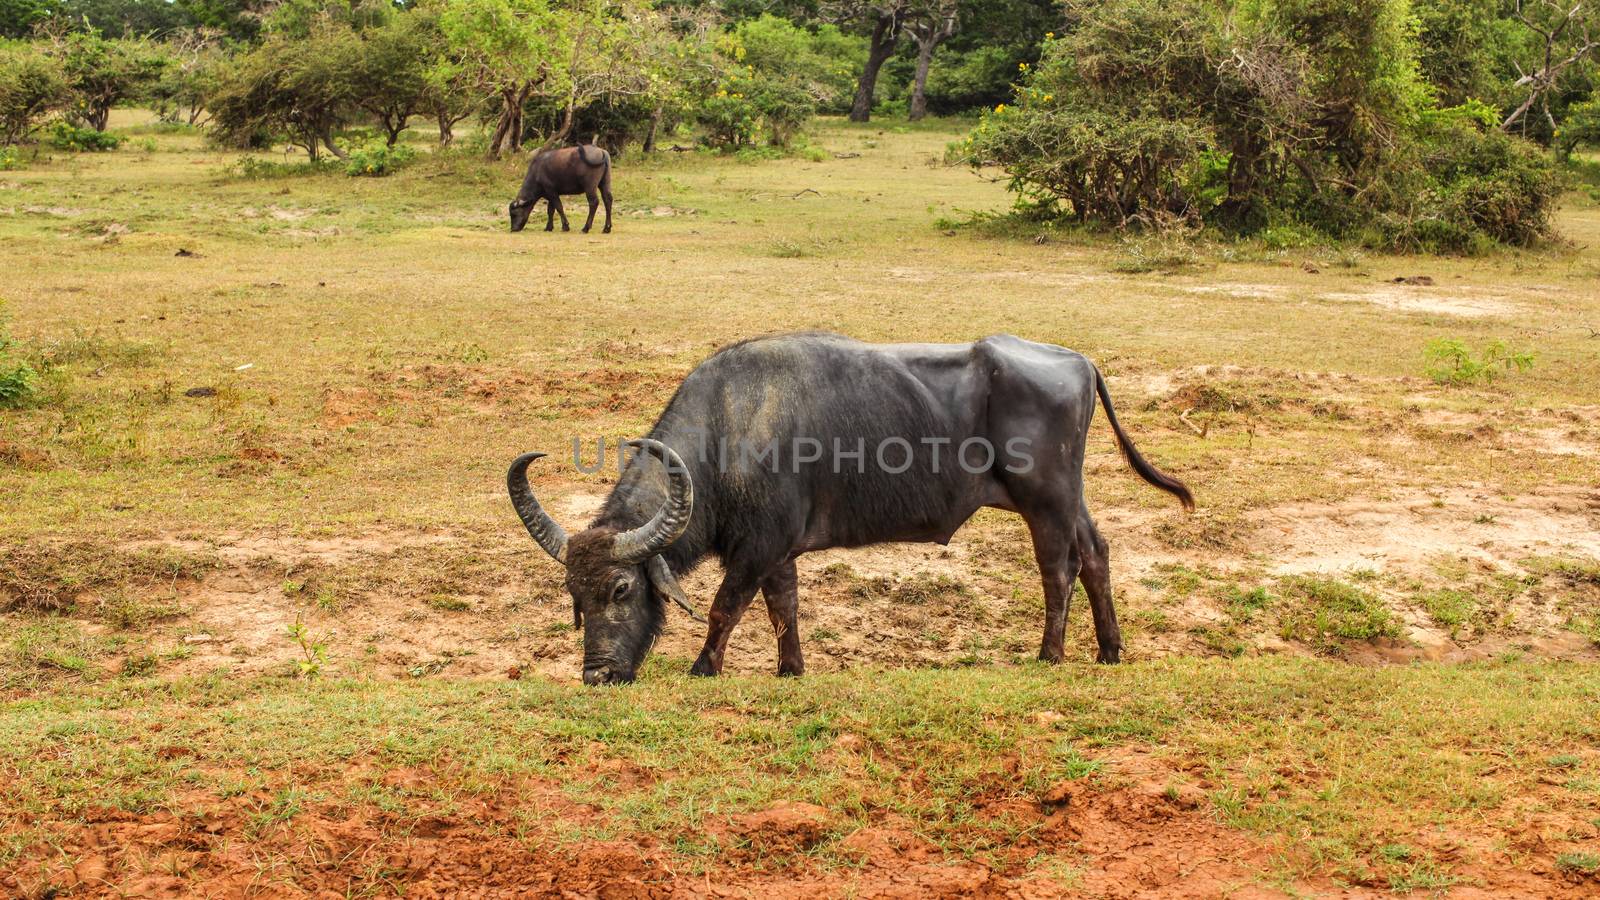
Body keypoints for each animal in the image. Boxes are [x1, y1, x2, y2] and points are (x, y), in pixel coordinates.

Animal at [505, 329, 1196, 679]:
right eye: (574, 597)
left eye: (622, 589)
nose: (597, 674)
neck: (727, 430)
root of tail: (1078, 362)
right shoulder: (777, 550)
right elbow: (783, 608)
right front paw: (791, 669)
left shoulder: (757, 546)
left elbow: (727, 607)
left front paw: (704, 667)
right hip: (1070, 499)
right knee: (1096, 554)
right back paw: (1109, 650)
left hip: (1044, 502)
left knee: (1059, 569)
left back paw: (1050, 655)